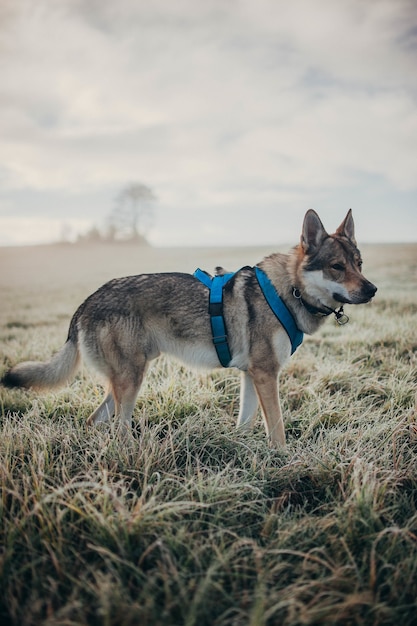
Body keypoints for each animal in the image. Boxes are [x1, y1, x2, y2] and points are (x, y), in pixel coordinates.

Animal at [0, 210, 376, 444]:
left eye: (359, 264)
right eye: (337, 267)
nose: (372, 289)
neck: (289, 291)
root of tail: (86, 302)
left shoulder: (251, 375)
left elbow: (246, 422)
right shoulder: (266, 374)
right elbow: (278, 429)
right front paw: (283, 460)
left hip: (125, 381)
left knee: (94, 422)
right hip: (131, 382)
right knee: (117, 431)